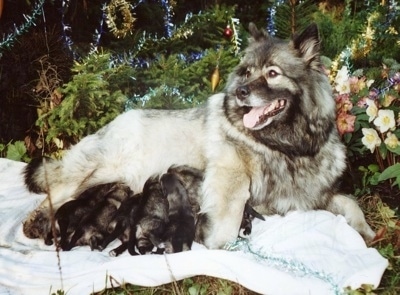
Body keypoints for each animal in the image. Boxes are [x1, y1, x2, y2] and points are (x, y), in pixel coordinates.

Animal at [22, 23, 376, 250]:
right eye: (247, 72)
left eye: (273, 73)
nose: (240, 91)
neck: (284, 145)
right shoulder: (229, 174)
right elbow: (229, 213)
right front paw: (213, 238)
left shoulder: (315, 197)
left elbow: (350, 202)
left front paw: (365, 231)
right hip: (97, 168)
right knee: (54, 193)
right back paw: (34, 223)